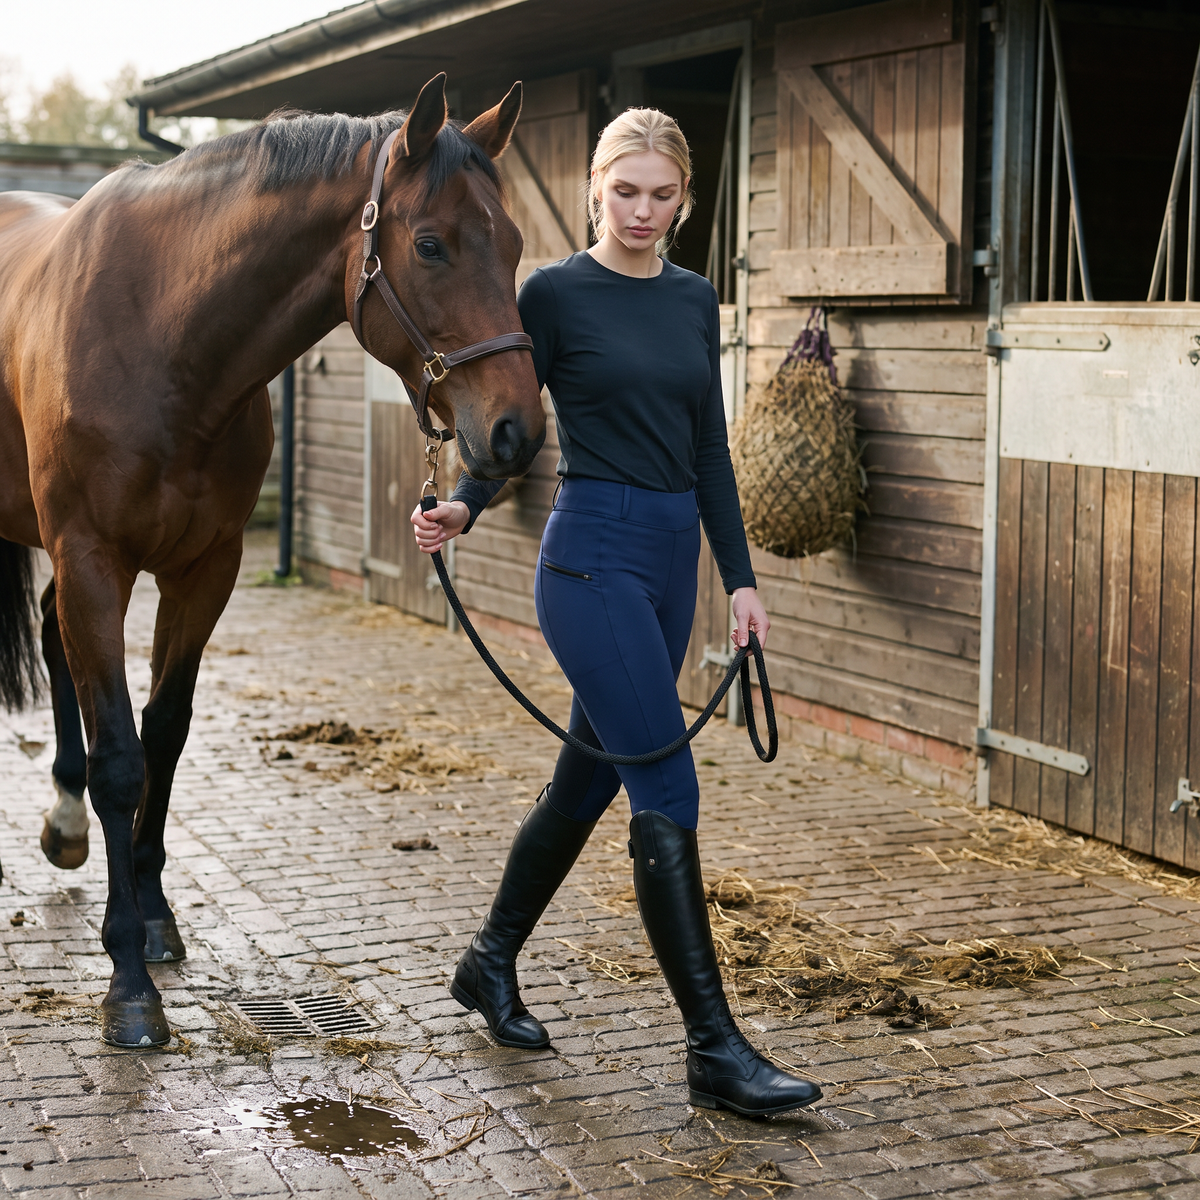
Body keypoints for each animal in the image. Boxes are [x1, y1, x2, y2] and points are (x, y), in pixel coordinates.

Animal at [0, 73, 544, 1048]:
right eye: (432, 244)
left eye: (515, 243)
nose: (518, 430)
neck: (162, 334)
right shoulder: (98, 561)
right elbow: (121, 760)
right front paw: (127, 983)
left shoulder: (203, 570)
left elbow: (166, 733)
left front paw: (154, 914)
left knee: (53, 639)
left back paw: (64, 823)